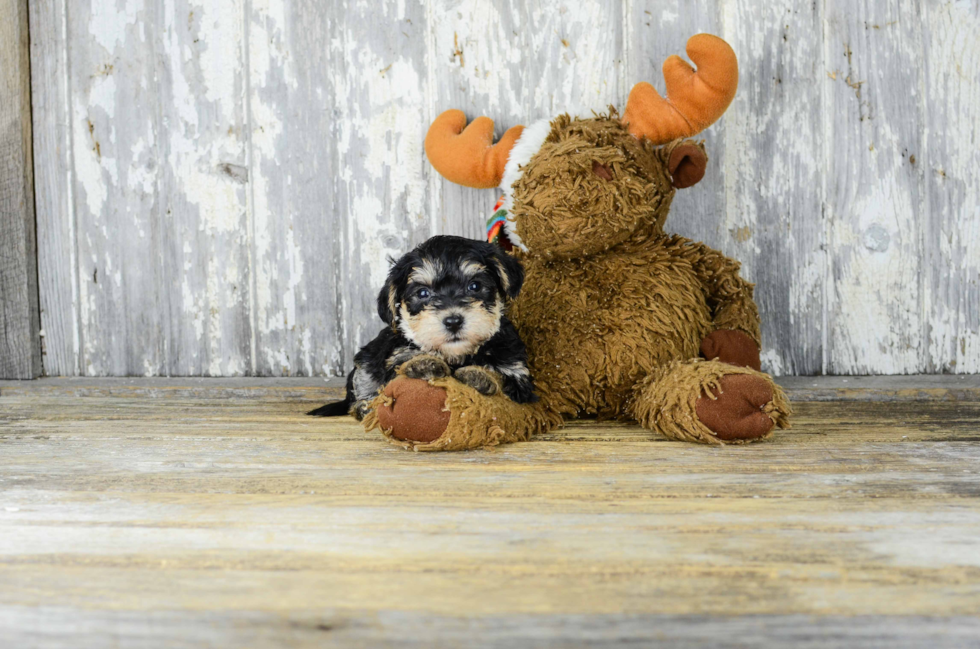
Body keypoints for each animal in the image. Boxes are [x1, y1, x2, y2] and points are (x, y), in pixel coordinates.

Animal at [306, 235, 536, 418]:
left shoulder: (516, 370)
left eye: (475, 286)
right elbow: (402, 366)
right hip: (366, 360)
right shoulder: (394, 357)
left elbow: (504, 378)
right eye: (423, 293)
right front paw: (424, 363)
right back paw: (365, 405)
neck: (456, 355)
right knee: (361, 387)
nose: (453, 321)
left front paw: (479, 375)